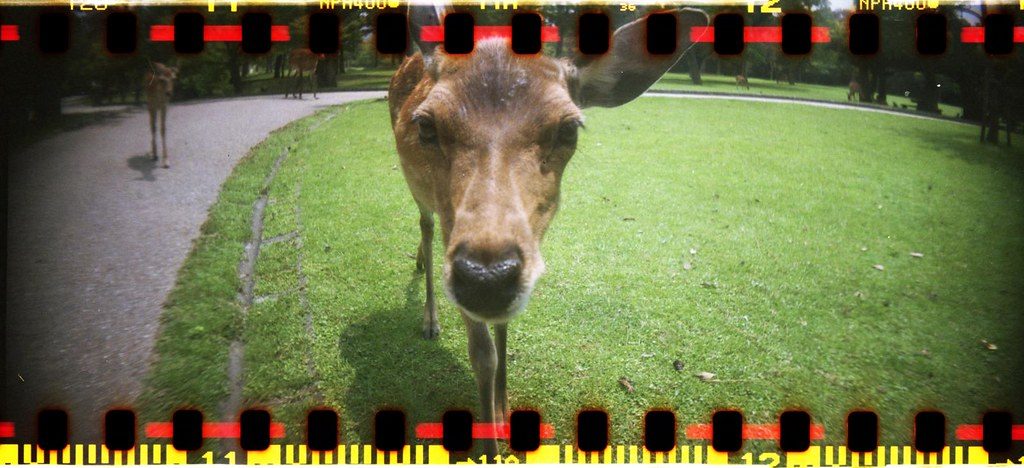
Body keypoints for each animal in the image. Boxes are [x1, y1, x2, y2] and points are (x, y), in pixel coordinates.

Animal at [388, 7, 708, 457]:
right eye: (426, 126)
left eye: (569, 128)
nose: (486, 278)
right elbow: (482, 353)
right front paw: (490, 446)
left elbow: (504, 335)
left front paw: (505, 413)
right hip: (420, 193)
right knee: (426, 226)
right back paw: (430, 319)